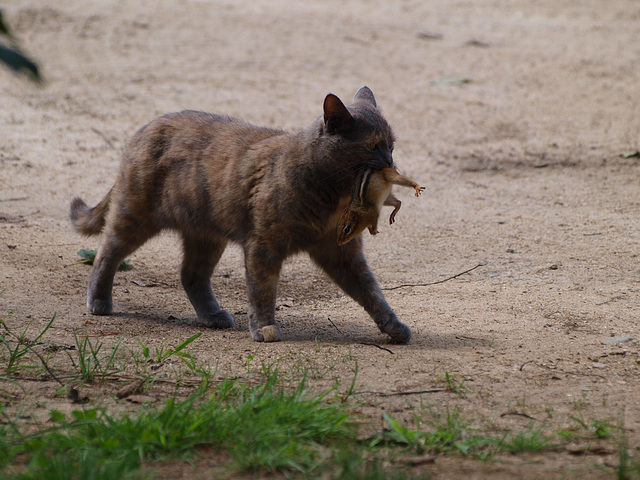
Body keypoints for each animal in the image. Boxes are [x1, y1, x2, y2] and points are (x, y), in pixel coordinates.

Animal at [69, 85, 410, 342]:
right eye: (372, 146)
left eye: (392, 145)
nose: (390, 162)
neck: (332, 197)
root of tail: (143, 128)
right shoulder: (263, 246)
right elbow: (262, 290)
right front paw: (265, 328)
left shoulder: (341, 252)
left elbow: (370, 291)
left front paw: (393, 326)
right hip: (135, 215)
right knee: (107, 253)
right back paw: (99, 302)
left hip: (206, 234)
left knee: (191, 275)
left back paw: (213, 315)